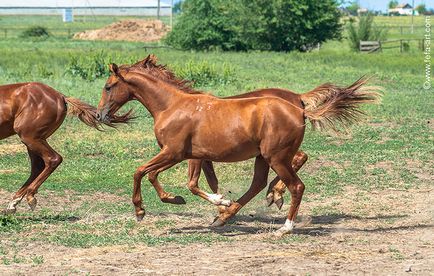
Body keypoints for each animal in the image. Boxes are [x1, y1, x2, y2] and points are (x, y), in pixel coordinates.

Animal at [0, 81, 129, 215]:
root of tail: (60, 96)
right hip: (34, 140)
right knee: (37, 167)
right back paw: (13, 204)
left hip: (30, 137)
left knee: (53, 159)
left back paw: (30, 198)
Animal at [96, 57, 380, 236]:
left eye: (108, 86)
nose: (100, 115)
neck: (172, 106)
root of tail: (298, 106)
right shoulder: (194, 156)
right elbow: (187, 181)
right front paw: (216, 204)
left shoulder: (174, 153)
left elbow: (145, 172)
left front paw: (143, 209)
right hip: (263, 157)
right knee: (259, 183)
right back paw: (234, 213)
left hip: (276, 157)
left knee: (296, 185)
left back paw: (284, 226)